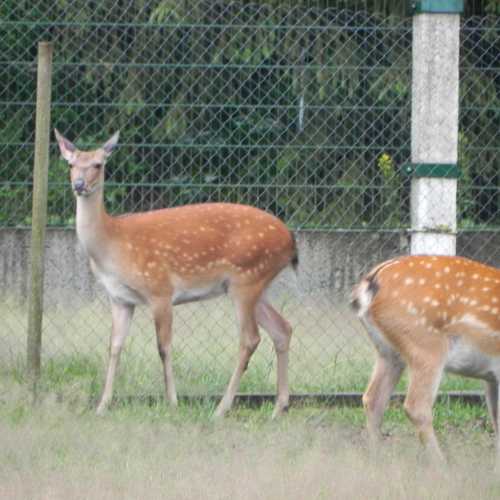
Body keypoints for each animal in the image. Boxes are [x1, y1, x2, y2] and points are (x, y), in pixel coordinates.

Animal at [54, 130, 296, 418]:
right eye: (70, 164)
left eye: (98, 164)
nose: (79, 184)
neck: (111, 245)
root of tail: (290, 241)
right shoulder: (120, 299)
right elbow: (114, 346)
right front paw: (102, 406)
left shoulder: (160, 289)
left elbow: (164, 347)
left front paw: (172, 402)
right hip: (255, 284)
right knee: (282, 328)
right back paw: (278, 408)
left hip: (246, 278)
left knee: (250, 338)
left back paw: (221, 409)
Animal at [350, 256, 500, 466]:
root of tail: (370, 282)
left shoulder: (491, 377)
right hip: (427, 348)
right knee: (416, 406)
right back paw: (443, 466)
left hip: (388, 353)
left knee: (373, 399)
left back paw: (378, 462)